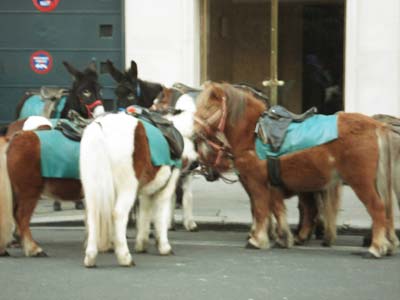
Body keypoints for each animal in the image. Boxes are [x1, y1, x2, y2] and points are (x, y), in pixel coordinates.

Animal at [79, 111, 194, 268]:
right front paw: (164, 246)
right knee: (118, 214)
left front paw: (142, 243)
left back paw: (90, 257)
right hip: (127, 187)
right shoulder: (165, 190)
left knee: (92, 215)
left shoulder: (145, 193)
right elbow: (161, 216)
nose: (195, 165)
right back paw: (124, 257)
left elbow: (144, 215)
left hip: (92, 188)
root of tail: (100, 126)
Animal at [192, 82, 398, 258]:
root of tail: (376, 125)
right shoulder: (271, 184)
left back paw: (376, 247)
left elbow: (260, 209)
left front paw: (257, 239)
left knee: (377, 208)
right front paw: (282, 237)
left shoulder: (257, 183)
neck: (253, 134)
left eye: (208, 107)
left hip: (360, 181)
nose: (193, 133)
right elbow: (276, 209)